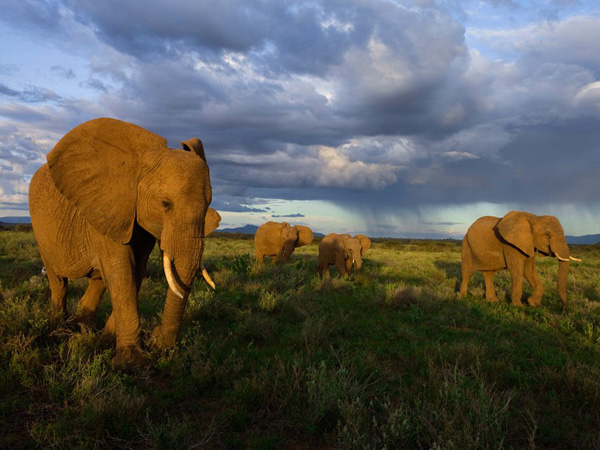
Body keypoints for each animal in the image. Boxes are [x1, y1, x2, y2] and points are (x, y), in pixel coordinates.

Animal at [28, 117, 220, 370]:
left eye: (208, 205)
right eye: (165, 204)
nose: (157, 339)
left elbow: (135, 270)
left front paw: (108, 342)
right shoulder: (106, 207)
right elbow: (122, 270)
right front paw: (131, 363)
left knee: (98, 280)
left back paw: (84, 329)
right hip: (41, 232)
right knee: (58, 280)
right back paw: (59, 328)